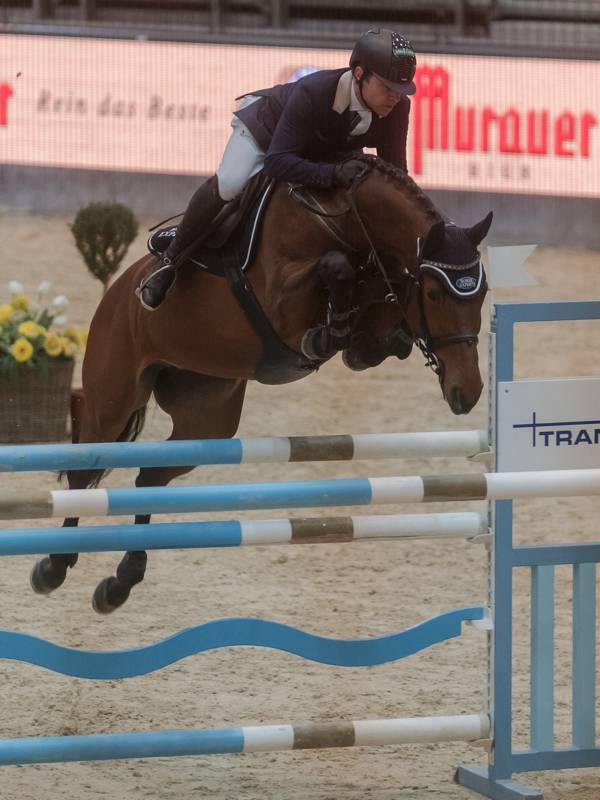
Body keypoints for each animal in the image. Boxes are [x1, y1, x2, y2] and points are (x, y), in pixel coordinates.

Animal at [30, 159, 492, 616]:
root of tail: (118, 290)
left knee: (150, 480)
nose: (467, 391)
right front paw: (327, 331)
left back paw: (120, 582)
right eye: (434, 294)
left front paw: (374, 339)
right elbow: (335, 267)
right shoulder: (283, 300)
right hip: (115, 397)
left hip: (208, 421)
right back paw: (54, 566)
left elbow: (376, 311)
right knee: (84, 471)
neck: (344, 218)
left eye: (483, 293)